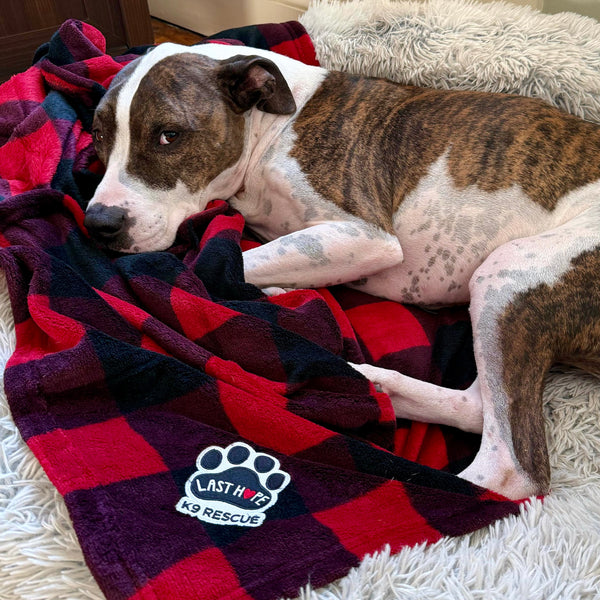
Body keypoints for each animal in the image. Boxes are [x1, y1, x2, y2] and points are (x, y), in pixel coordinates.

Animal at [83, 43, 600, 502]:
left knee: (511, 470)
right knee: (477, 406)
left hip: (509, 274)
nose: (99, 224)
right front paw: (280, 290)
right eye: (98, 136)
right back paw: (365, 382)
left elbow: (208, 261)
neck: (270, 128)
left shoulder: (365, 234)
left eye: (169, 135)